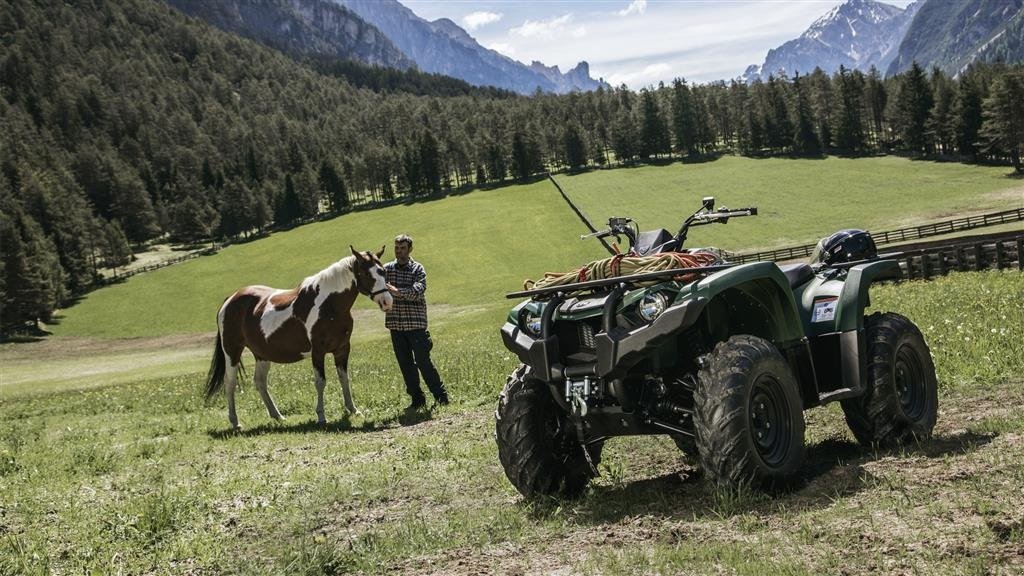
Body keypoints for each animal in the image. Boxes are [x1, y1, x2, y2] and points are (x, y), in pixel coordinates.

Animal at [203, 243, 391, 428]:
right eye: (366, 273)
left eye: (383, 271)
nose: (387, 302)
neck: (329, 305)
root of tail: (230, 300)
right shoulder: (318, 352)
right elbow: (320, 382)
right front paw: (321, 416)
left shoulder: (342, 349)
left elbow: (344, 378)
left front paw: (353, 410)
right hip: (232, 351)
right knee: (230, 384)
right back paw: (235, 422)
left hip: (262, 355)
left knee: (260, 382)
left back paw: (277, 416)